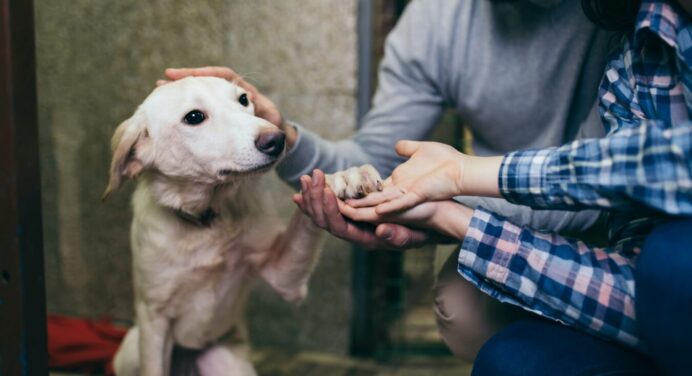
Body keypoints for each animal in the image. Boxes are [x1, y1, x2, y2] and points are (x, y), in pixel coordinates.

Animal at [104, 75, 382, 374]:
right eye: (194, 117)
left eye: (244, 99)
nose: (277, 139)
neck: (207, 220)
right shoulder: (154, 319)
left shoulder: (284, 276)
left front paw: (344, 177)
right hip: (134, 347)